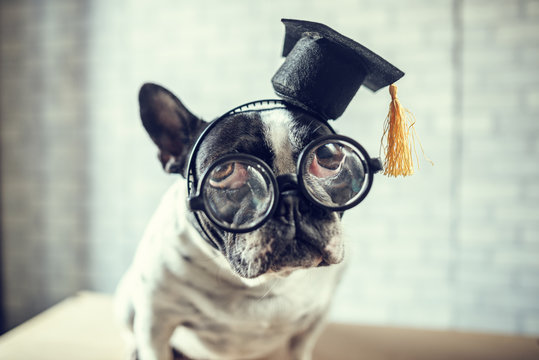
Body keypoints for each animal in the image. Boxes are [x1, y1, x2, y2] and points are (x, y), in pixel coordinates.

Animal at [114, 82, 354, 360]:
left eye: (327, 156)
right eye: (224, 171)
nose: (292, 198)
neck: (260, 284)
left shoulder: (313, 321)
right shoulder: (156, 322)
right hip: (127, 305)